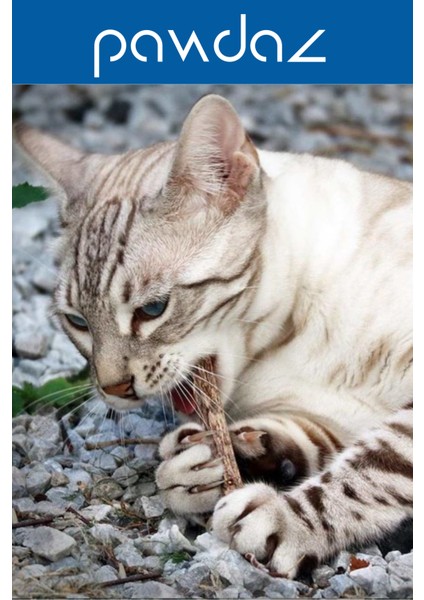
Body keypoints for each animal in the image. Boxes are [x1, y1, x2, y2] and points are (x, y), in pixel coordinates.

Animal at [14, 95, 412, 580]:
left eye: (152, 309)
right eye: (78, 322)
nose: (113, 389)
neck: (286, 343)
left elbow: (374, 465)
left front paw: (285, 520)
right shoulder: (333, 415)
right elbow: (307, 440)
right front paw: (210, 461)